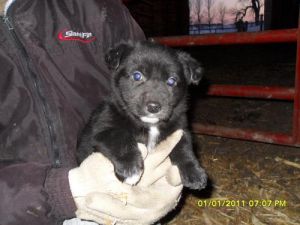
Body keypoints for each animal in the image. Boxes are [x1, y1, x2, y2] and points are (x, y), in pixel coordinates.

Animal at [77, 40, 207, 190]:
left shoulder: (179, 128)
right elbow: (120, 137)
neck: (150, 125)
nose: (153, 107)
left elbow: (183, 146)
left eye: (171, 81)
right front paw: (130, 168)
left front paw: (194, 172)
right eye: (137, 75)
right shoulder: (102, 128)